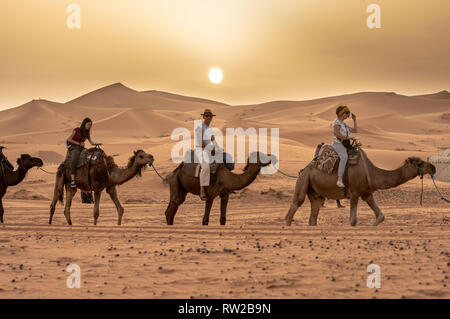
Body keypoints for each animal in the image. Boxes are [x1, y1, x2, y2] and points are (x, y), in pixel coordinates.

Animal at [284, 148, 436, 228]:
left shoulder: (367, 193)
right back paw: (287, 225)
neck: (371, 173)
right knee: (296, 202)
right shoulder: (354, 192)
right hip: (304, 179)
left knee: (314, 210)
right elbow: (353, 220)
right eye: (419, 163)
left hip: (315, 191)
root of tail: (303, 169)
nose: (433, 168)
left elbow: (380, 216)